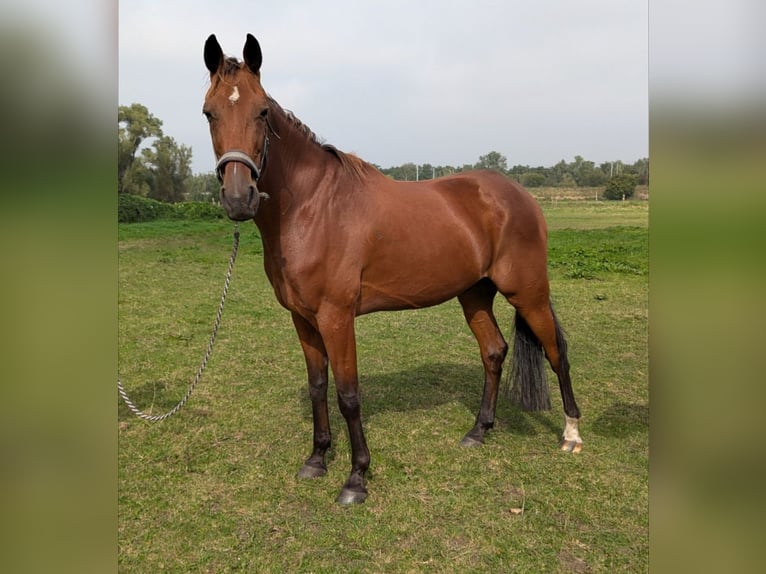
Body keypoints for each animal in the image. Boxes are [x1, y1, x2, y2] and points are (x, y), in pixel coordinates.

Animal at [201, 33, 584, 506]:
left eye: (262, 112)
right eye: (209, 112)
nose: (240, 198)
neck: (312, 207)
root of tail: (521, 196)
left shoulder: (337, 317)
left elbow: (348, 395)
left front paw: (356, 479)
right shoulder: (303, 320)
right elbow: (317, 387)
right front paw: (316, 460)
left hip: (528, 292)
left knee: (557, 352)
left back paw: (571, 434)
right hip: (474, 293)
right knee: (494, 352)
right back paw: (478, 432)